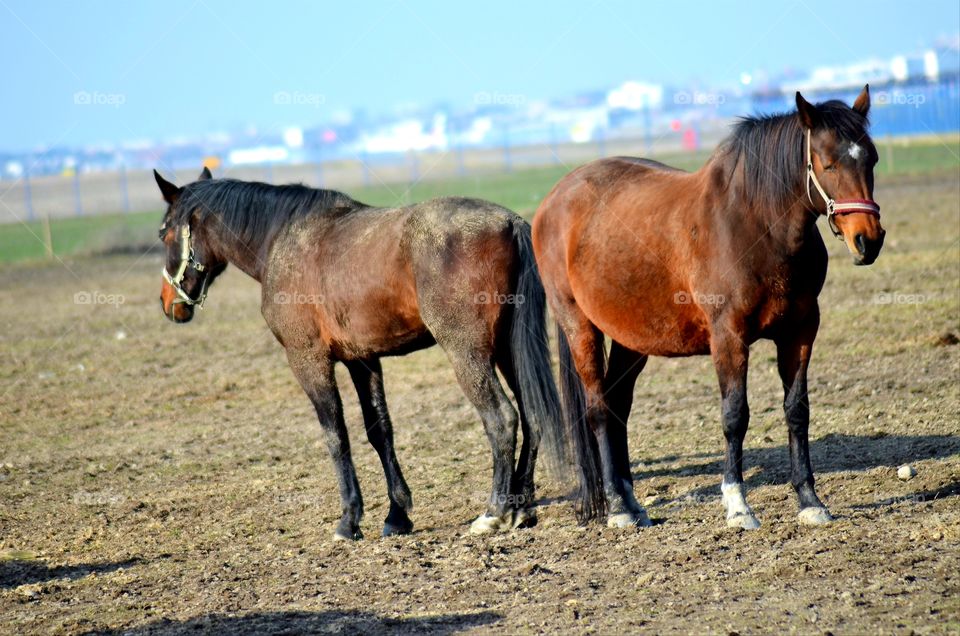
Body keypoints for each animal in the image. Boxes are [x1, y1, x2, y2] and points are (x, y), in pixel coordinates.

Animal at [154, 168, 564, 541]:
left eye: (164, 232)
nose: (168, 302)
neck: (281, 241)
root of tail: (509, 222)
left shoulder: (309, 361)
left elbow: (336, 435)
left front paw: (349, 519)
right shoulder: (362, 360)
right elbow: (380, 431)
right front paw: (397, 515)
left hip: (469, 353)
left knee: (502, 419)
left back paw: (494, 511)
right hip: (507, 350)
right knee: (532, 416)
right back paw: (522, 507)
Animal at [532, 86, 885, 529]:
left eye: (871, 158)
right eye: (828, 162)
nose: (868, 240)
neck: (755, 225)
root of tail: (554, 199)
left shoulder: (801, 329)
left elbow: (797, 410)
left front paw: (809, 500)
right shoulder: (729, 336)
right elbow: (735, 415)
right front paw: (738, 505)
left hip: (632, 336)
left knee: (618, 406)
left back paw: (632, 501)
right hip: (579, 324)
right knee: (597, 409)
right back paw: (617, 507)